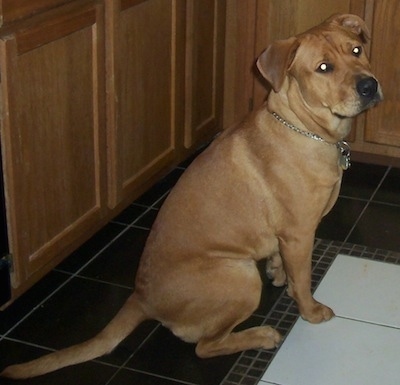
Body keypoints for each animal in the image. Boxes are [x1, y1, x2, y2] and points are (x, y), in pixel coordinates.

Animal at [0, 12, 382, 378]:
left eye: (356, 50)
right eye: (323, 67)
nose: (369, 85)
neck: (306, 129)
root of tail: (141, 298)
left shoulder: (287, 237)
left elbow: (283, 263)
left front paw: (278, 273)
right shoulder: (301, 233)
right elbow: (303, 282)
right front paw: (311, 311)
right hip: (239, 276)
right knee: (205, 346)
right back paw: (260, 335)